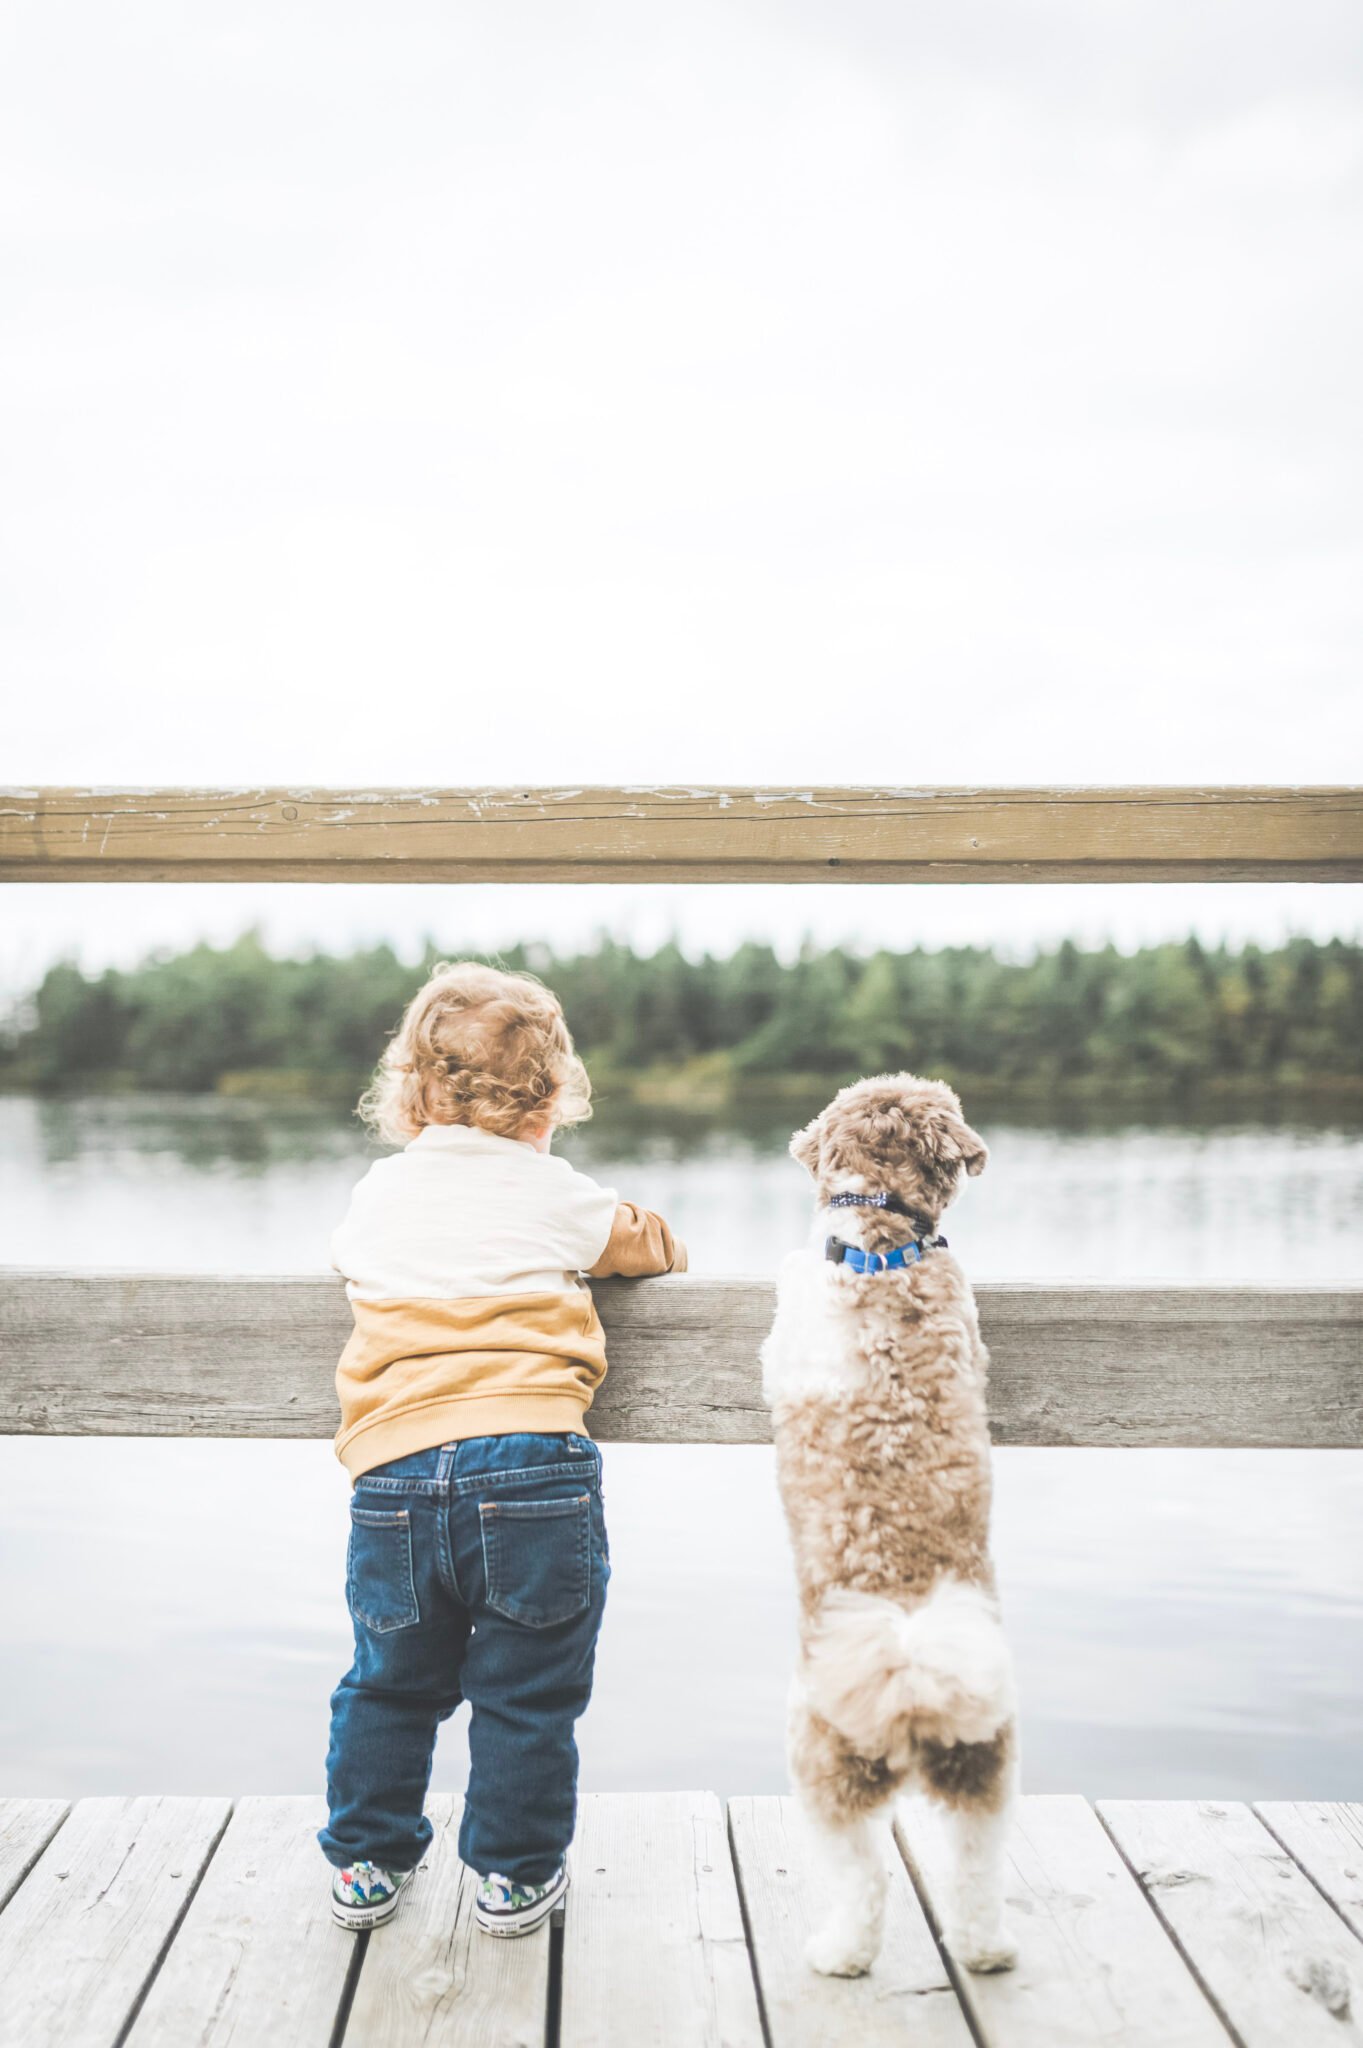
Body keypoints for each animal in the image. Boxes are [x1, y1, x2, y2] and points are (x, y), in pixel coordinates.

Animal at [757, 1073, 1015, 1982]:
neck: (883, 1241)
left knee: (862, 1878)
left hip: (822, 1769)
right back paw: (985, 1950)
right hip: (982, 1770)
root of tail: (910, 1680)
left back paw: (838, 1953)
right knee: (975, 1870)